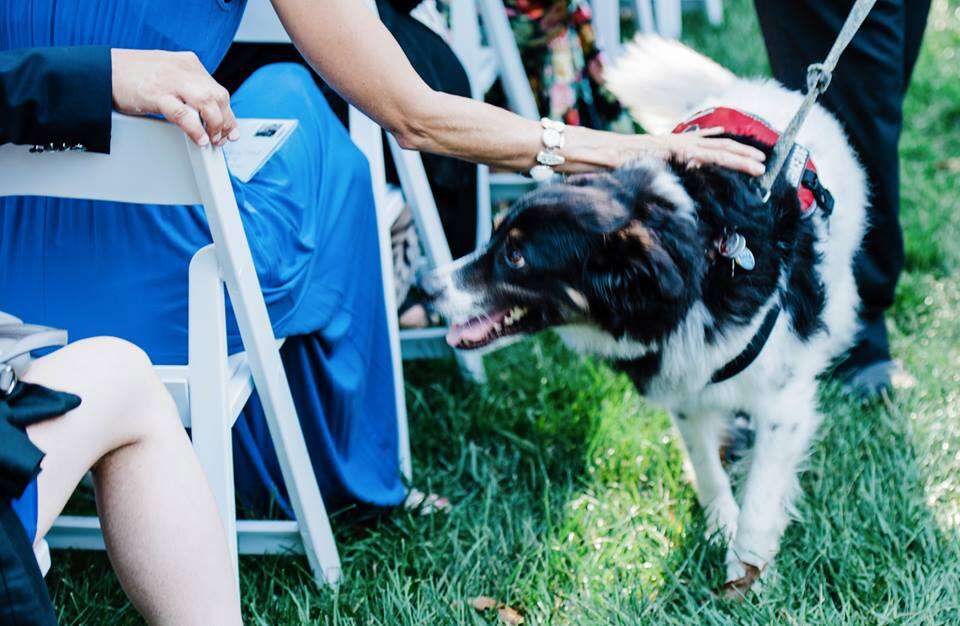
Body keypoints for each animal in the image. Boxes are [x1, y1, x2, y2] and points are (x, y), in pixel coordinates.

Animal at [424, 35, 868, 596]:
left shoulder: (782, 401)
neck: (702, 258)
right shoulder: (686, 387)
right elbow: (706, 465)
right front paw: (720, 527)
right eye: (494, 236)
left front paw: (746, 567)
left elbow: (763, 491)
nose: (426, 286)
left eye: (516, 257)